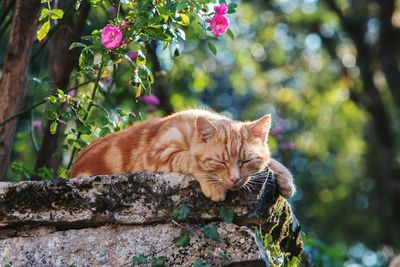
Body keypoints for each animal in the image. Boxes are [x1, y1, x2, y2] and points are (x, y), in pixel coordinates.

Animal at [69, 110, 296, 202]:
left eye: (246, 161)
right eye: (221, 162)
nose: (235, 179)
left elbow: (272, 162)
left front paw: (286, 180)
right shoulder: (156, 157)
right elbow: (191, 159)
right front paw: (213, 185)